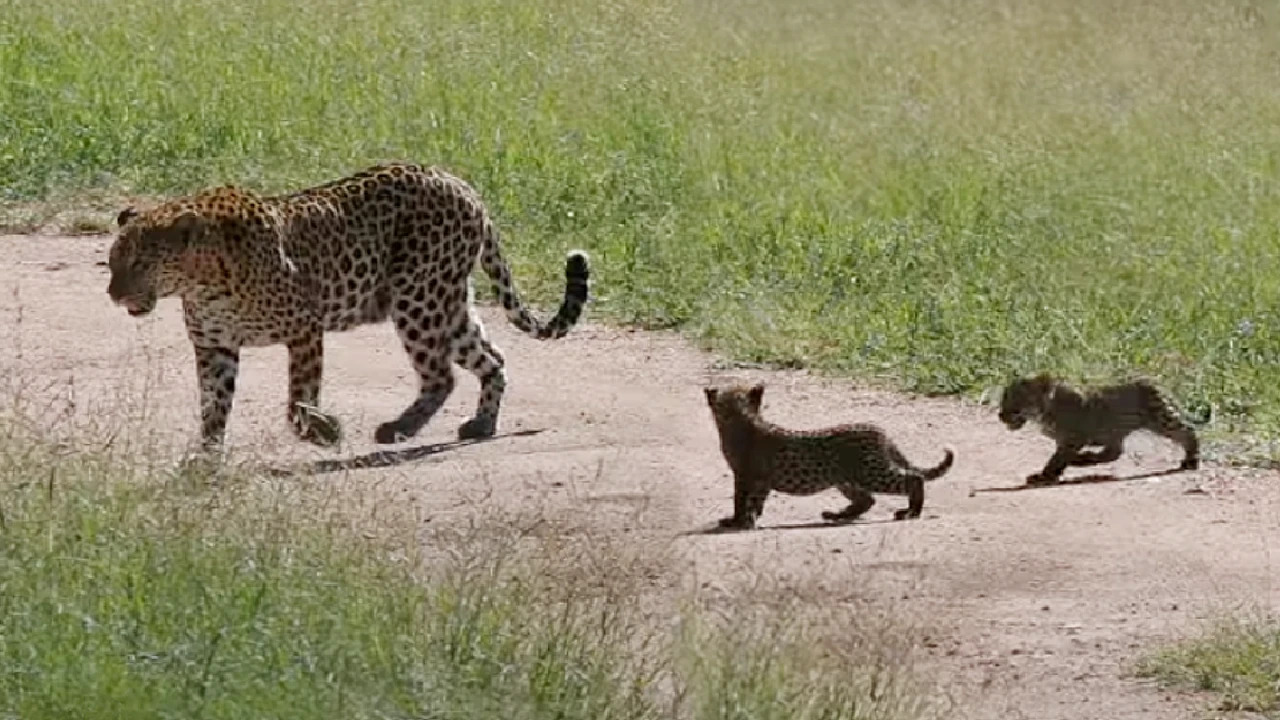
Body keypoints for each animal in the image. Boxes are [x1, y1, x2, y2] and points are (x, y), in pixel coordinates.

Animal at [110, 162, 588, 448]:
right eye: (113, 261)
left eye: (140, 263)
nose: (113, 294)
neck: (201, 281)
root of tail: (466, 187)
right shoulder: (214, 347)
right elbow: (213, 407)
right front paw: (204, 462)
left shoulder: (304, 328)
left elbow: (299, 397)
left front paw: (322, 431)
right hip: (447, 304)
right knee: (492, 358)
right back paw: (481, 425)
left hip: (419, 298)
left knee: (441, 375)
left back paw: (399, 428)